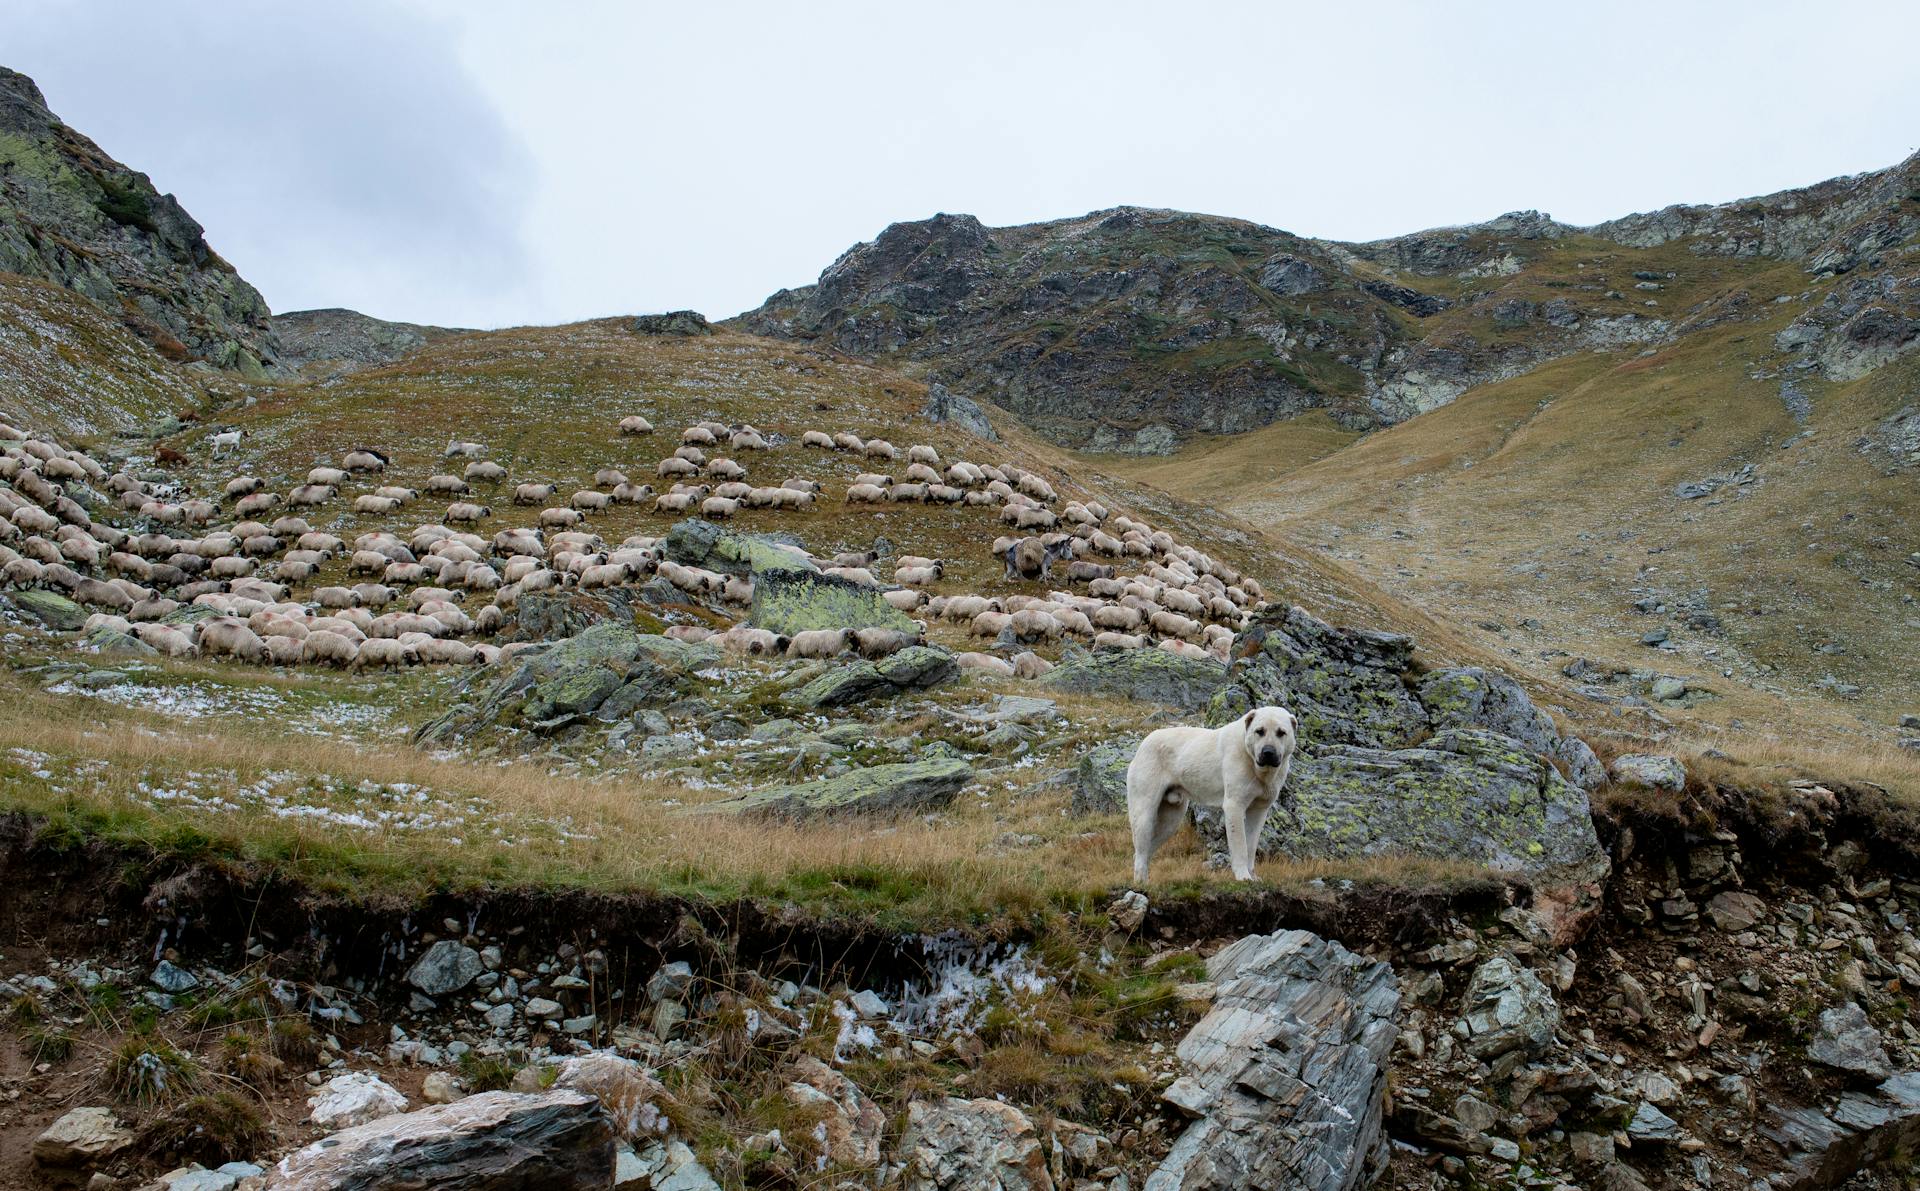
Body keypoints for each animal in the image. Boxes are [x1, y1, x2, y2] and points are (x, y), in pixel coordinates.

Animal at [1121, 706, 1305, 883]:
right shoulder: (1234, 805)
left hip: (1171, 819)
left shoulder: (1259, 809)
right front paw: (1243, 877)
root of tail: (1144, 742)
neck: (1255, 765)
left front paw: (1253, 876)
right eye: (1259, 731)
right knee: (1141, 846)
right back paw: (1140, 882)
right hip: (1144, 809)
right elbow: (1240, 844)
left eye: (1281, 732)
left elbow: (1251, 845)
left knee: (1146, 848)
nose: (1268, 752)